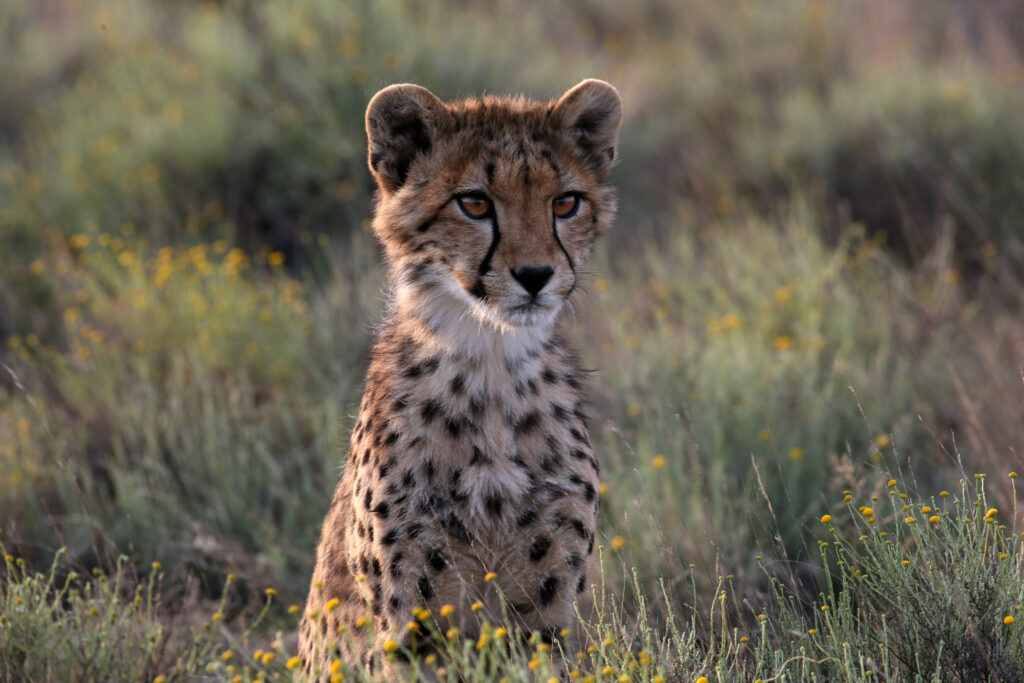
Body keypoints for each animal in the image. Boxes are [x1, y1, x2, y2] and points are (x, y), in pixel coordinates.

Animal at [299, 78, 622, 679]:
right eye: (474, 203)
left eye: (565, 203)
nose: (536, 275)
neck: (491, 359)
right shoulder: (413, 625)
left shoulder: (545, 618)